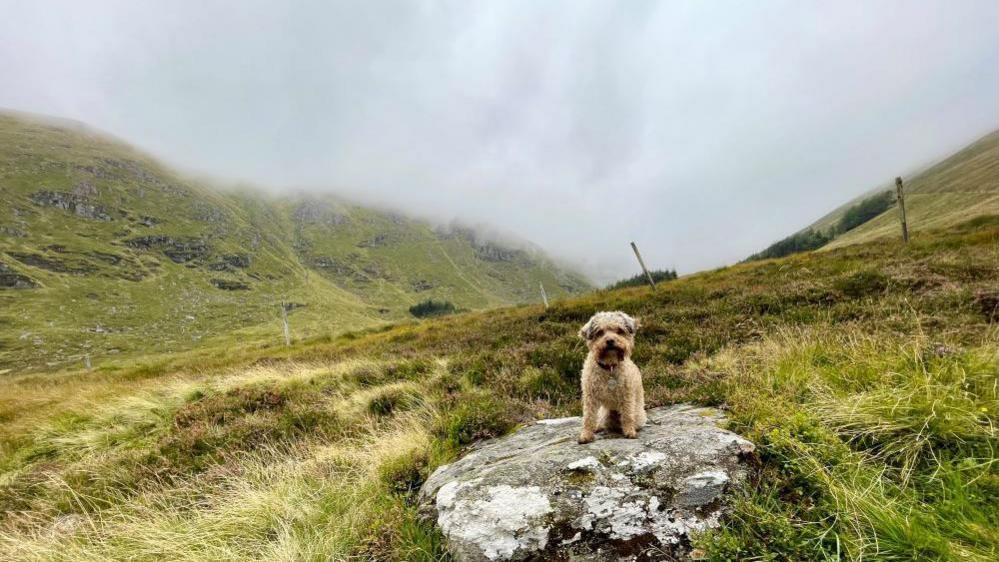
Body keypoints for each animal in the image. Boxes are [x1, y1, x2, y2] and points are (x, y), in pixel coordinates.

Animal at [580, 310, 648, 442]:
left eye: (619, 330)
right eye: (600, 332)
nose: (610, 341)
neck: (609, 366)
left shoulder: (626, 395)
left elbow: (627, 415)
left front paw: (629, 432)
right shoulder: (590, 396)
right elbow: (589, 417)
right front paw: (586, 435)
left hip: (638, 414)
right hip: (604, 414)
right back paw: (598, 427)